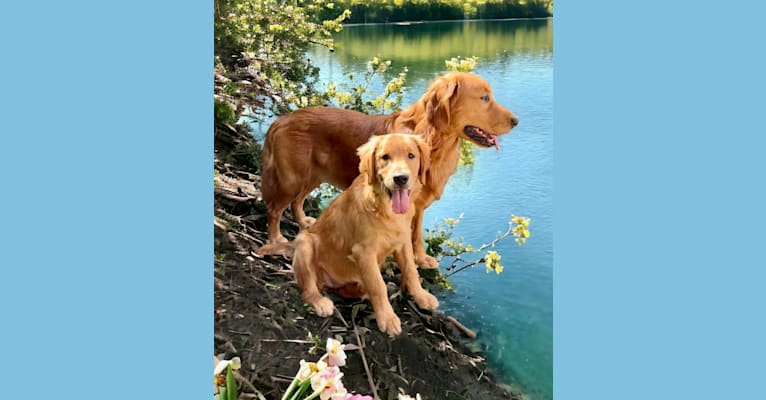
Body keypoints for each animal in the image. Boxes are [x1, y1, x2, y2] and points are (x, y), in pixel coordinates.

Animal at [292, 133, 440, 336]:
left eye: (411, 156)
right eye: (385, 157)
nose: (400, 178)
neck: (385, 208)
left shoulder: (402, 243)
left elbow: (411, 270)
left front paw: (421, 296)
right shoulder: (364, 252)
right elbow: (378, 285)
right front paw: (387, 318)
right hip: (304, 243)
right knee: (307, 288)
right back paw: (320, 301)